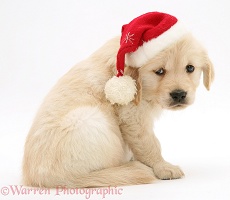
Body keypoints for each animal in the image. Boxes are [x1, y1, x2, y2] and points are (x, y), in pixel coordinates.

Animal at [22, 12, 214, 188]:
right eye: (159, 71)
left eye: (190, 68)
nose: (179, 94)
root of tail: (41, 180)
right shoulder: (132, 115)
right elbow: (149, 143)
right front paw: (163, 167)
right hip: (90, 120)